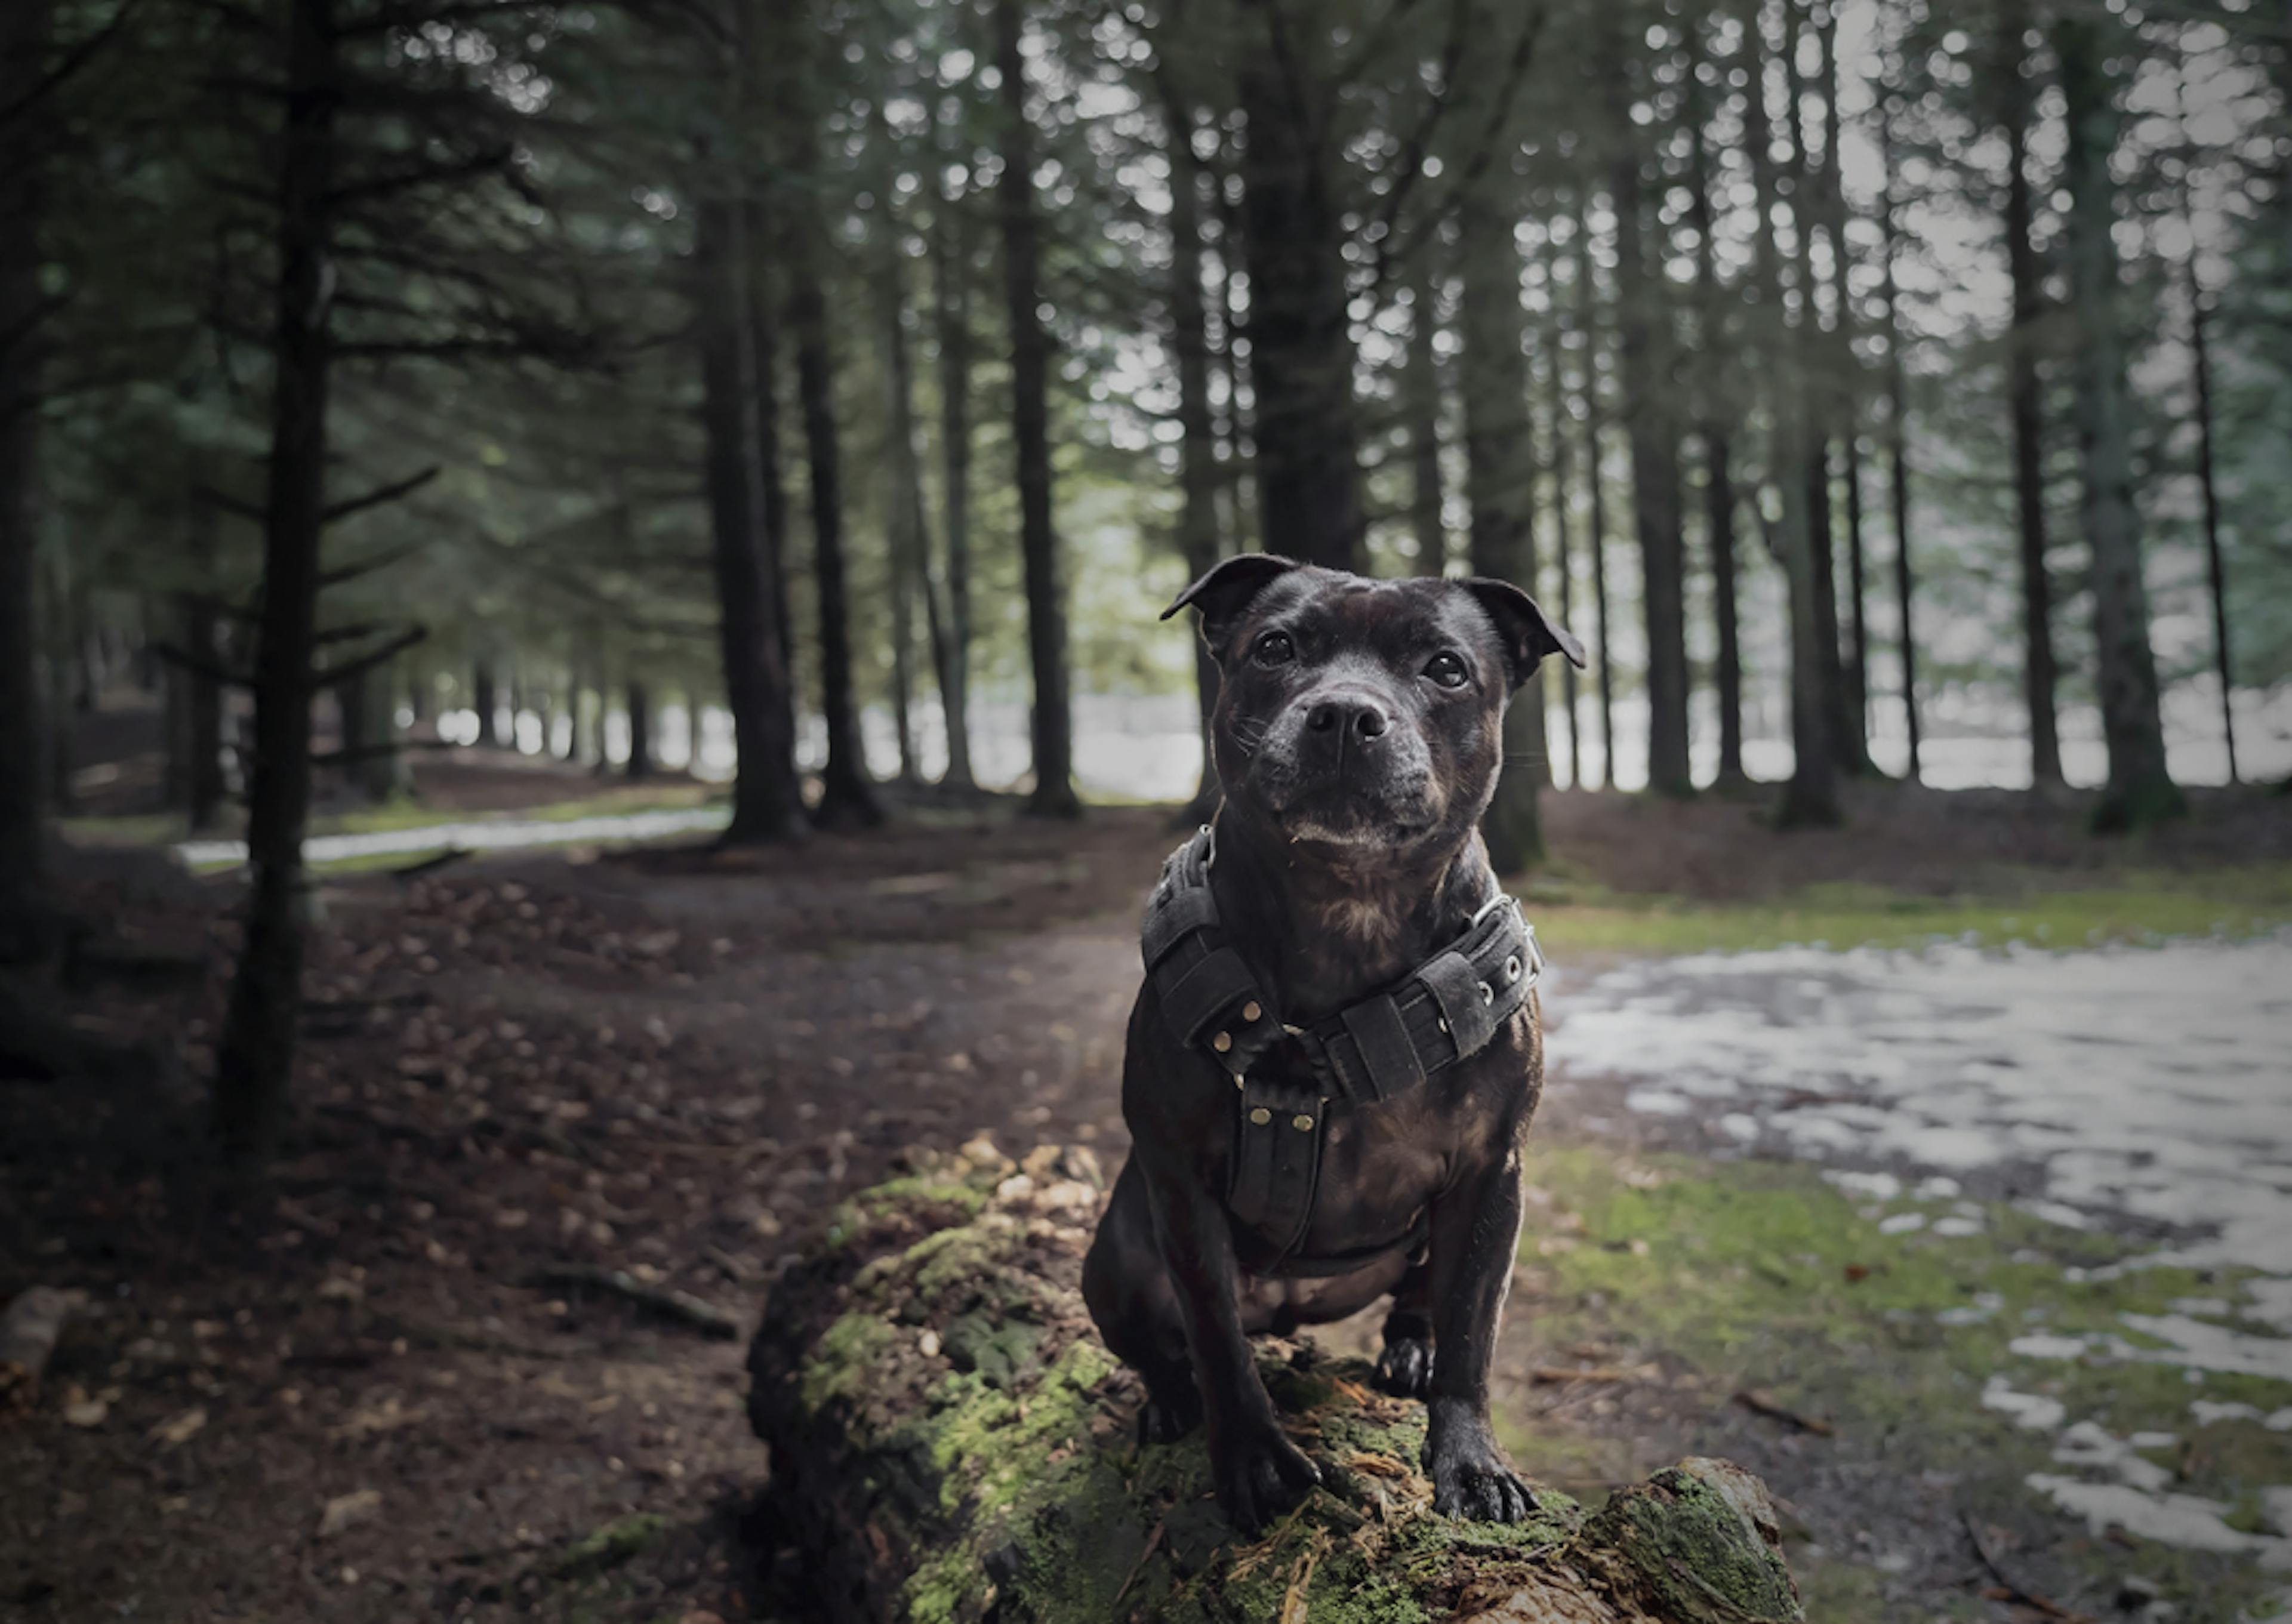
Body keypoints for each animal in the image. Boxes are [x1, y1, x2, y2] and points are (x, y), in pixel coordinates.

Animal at [1082, 551, 1586, 1530]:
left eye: (1446, 668)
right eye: (1277, 648)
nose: (1347, 713)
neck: (1348, 905)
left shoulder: (1492, 1175)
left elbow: (1475, 1329)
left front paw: (1470, 1459)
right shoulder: (1181, 1185)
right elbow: (1215, 1338)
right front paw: (1250, 1458)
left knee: (1423, 1302)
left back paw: (1410, 1351)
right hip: (1115, 1257)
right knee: (1164, 1343)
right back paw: (1169, 1399)